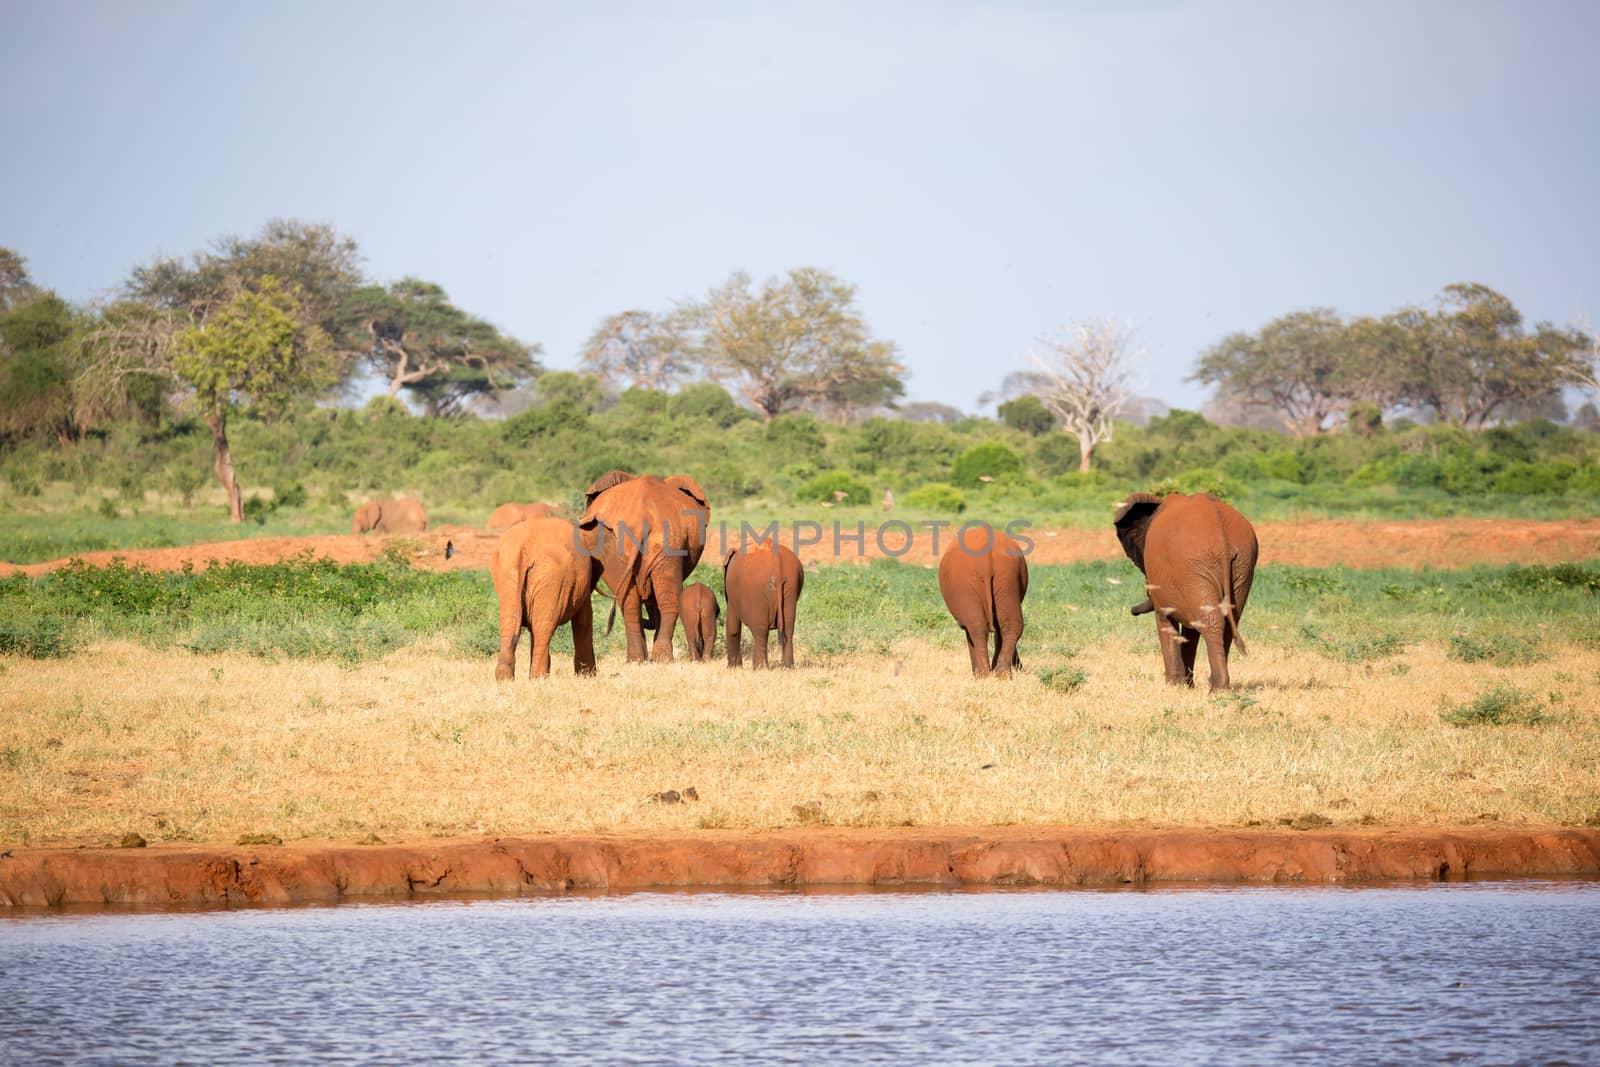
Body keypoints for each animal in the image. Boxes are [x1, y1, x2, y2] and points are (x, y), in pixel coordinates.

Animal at [489, 515, 601, 681]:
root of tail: (523, 547)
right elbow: (584, 620)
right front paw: (587, 677)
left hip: (509, 570)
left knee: (512, 622)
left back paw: (506, 679)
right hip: (551, 576)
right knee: (543, 626)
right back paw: (539, 678)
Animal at [934, 524, 1030, 675]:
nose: (1020, 668)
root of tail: (986, 557)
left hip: (965, 580)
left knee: (976, 627)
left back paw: (983, 675)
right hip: (1007, 576)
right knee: (1010, 624)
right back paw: (1000, 674)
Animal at [1120, 492, 1254, 694]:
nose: (1131, 611)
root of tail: (1219, 526)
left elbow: (1165, 620)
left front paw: (1173, 686)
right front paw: (1187, 686)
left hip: (1195, 563)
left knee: (1211, 622)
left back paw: (1217, 689)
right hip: (1241, 564)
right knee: (1228, 621)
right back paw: (1219, 687)